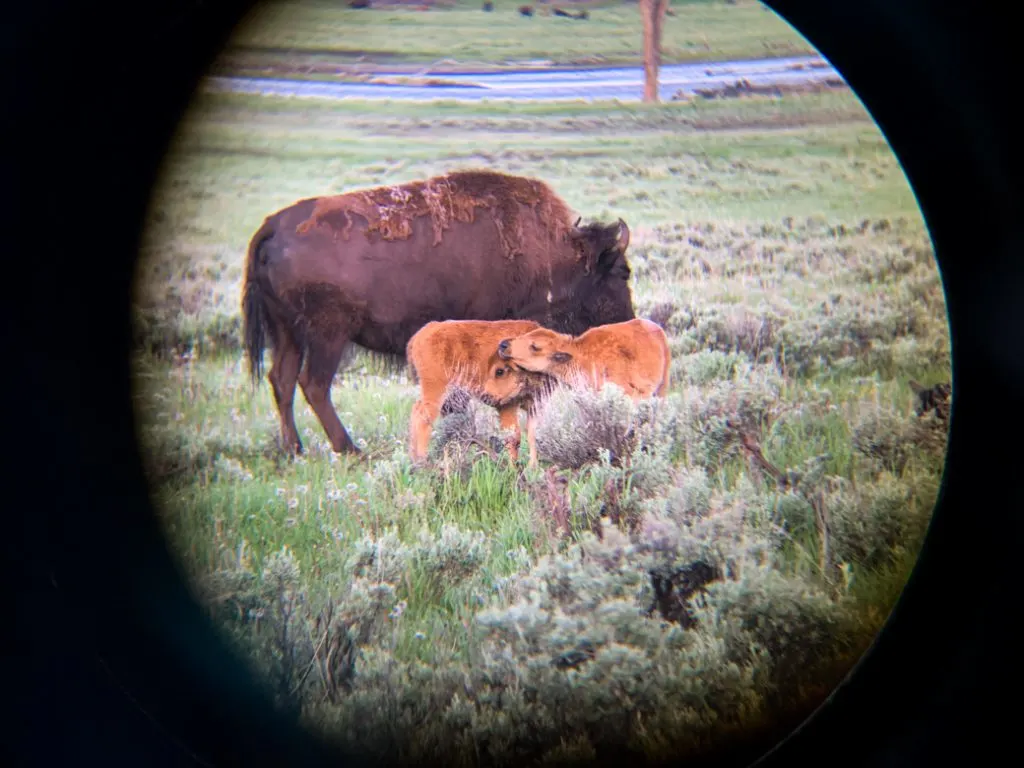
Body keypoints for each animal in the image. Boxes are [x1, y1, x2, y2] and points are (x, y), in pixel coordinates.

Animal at [405, 319, 552, 466]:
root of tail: (427, 330)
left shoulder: (535, 406)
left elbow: (531, 433)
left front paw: (531, 466)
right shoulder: (508, 405)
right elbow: (514, 435)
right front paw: (512, 467)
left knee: (416, 409)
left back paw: (413, 457)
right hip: (436, 389)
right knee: (423, 417)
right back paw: (422, 461)